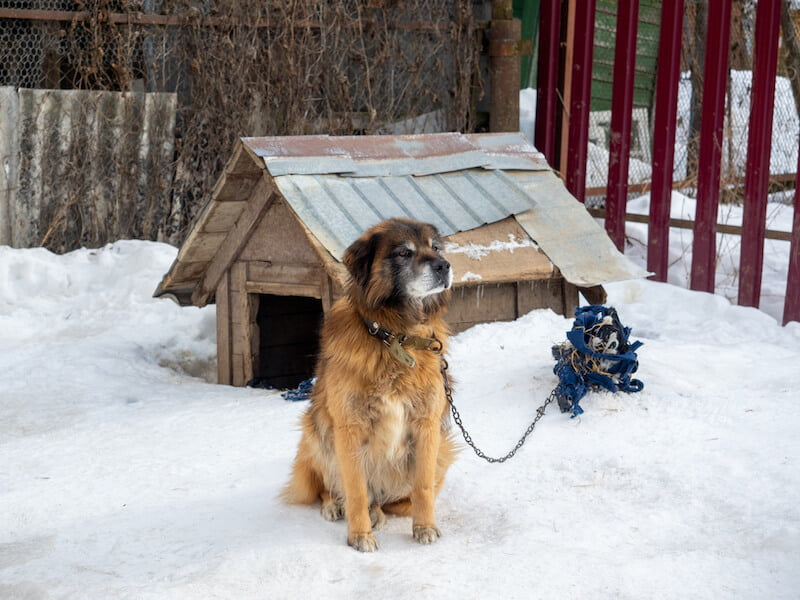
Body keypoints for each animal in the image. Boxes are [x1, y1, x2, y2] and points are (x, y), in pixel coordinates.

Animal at [282, 218, 456, 552]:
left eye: (436, 248)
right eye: (404, 253)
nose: (444, 265)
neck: (395, 335)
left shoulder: (426, 426)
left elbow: (423, 487)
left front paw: (424, 527)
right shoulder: (350, 427)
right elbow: (356, 490)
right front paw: (359, 535)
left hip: (443, 452)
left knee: (392, 500)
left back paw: (378, 511)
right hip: (317, 434)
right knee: (328, 485)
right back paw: (334, 505)